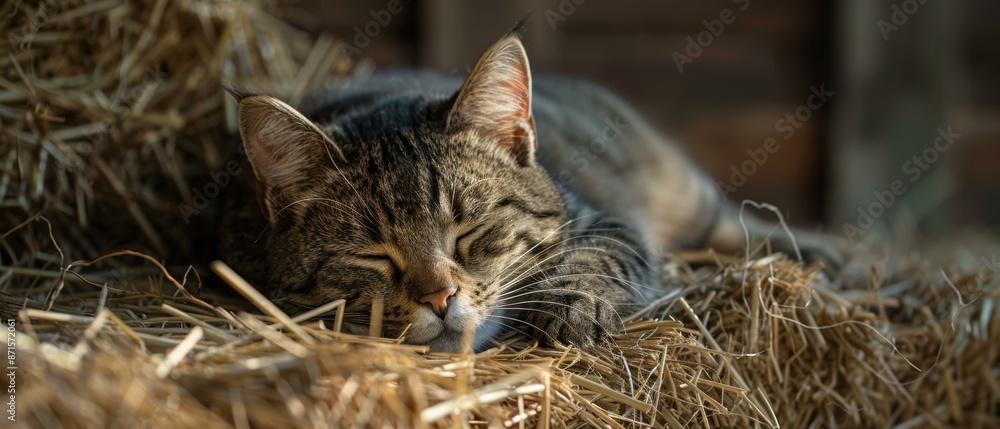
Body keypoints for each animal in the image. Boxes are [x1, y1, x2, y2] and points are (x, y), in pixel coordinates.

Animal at [219, 30, 836, 352]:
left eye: (471, 232)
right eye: (371, 256)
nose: (440, 299)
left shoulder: (606, 221)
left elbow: (596, 258)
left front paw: (572, 307)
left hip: (691, 195)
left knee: (743, 225)